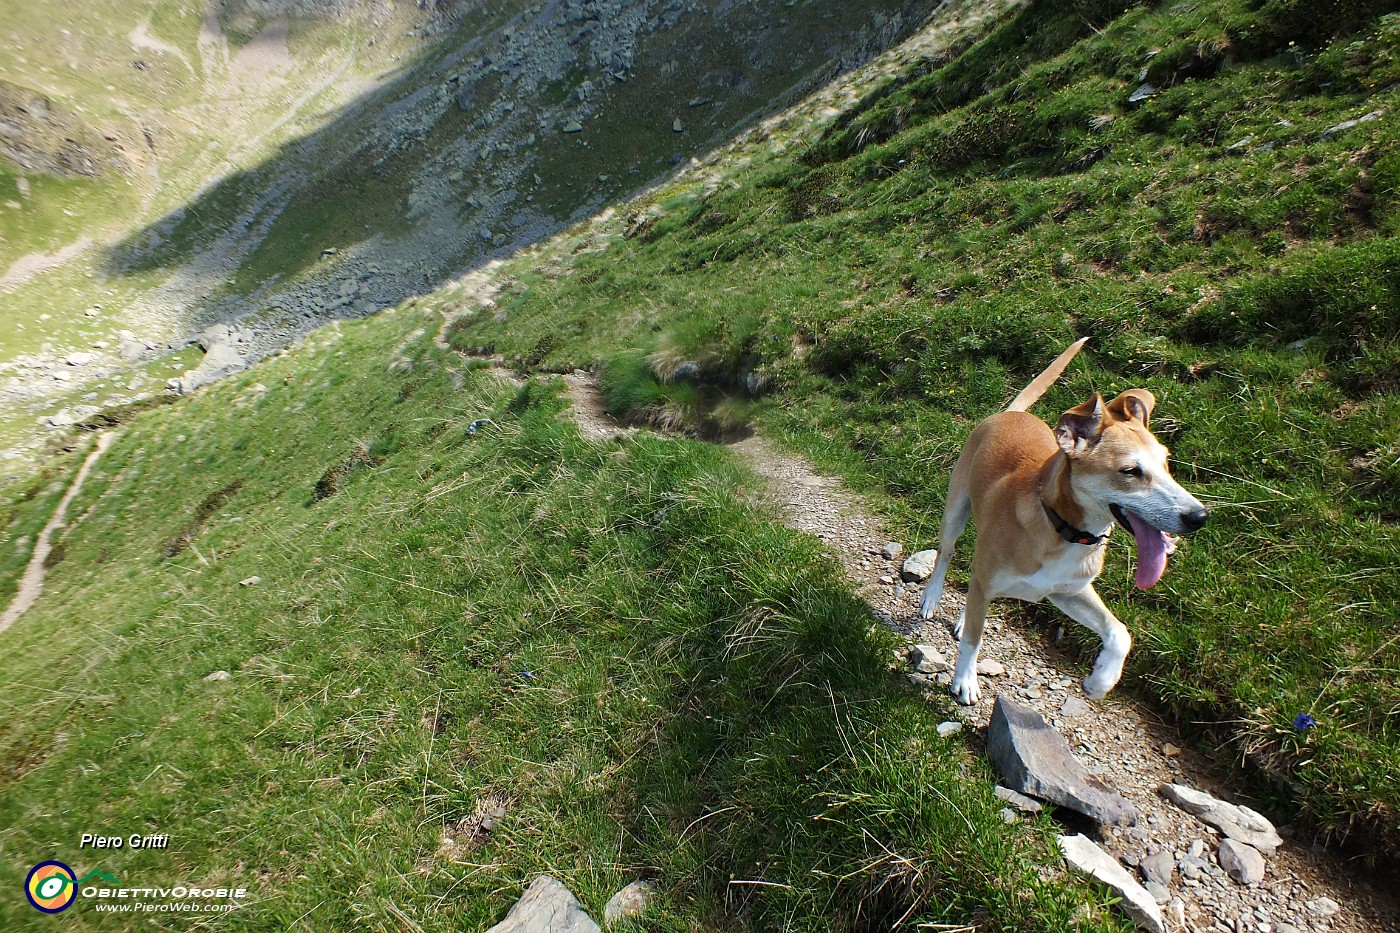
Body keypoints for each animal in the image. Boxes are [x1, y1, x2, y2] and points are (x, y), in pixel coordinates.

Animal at [912, 337, 1209, 700]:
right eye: (1130, 471)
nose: (1199, 517)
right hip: (955, 511)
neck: (1062, 529)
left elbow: (1119, 632)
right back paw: (932, 597)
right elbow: (973, 639)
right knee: (947, 553)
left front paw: (1101, 678)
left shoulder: (1067, 591)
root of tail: (1012, 412)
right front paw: (965, 680)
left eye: (1166, 463)